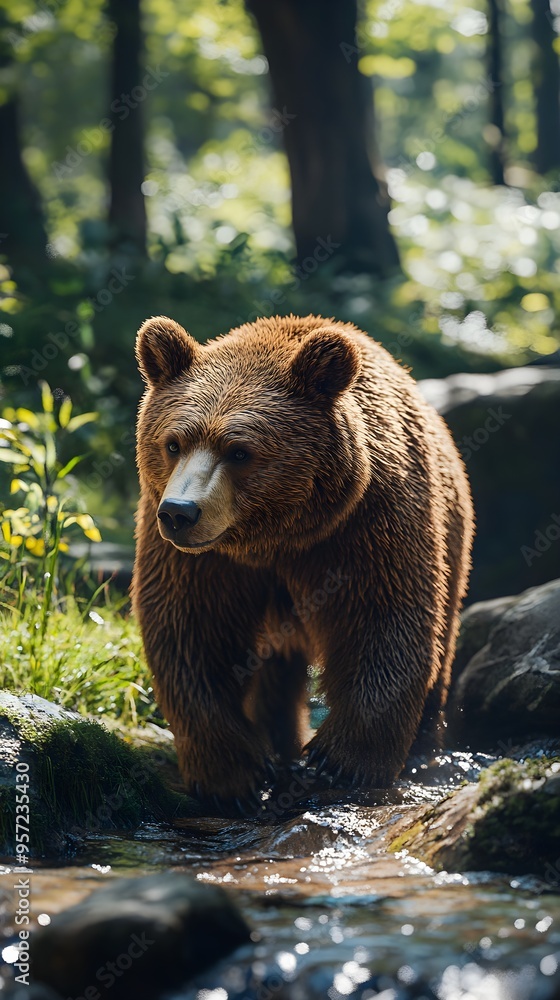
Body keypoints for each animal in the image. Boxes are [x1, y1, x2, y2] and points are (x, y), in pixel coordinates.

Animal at [131, 313, 474, 812]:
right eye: (173, 443)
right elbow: (191, 632)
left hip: (454, 545)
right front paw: (233, 776)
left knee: (439, 653)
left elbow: (383, 618)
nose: (180, 512)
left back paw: (423, 751)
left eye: (239, 450)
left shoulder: (365, 524)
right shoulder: (203, 561)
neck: (275, 537)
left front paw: (340, 760)